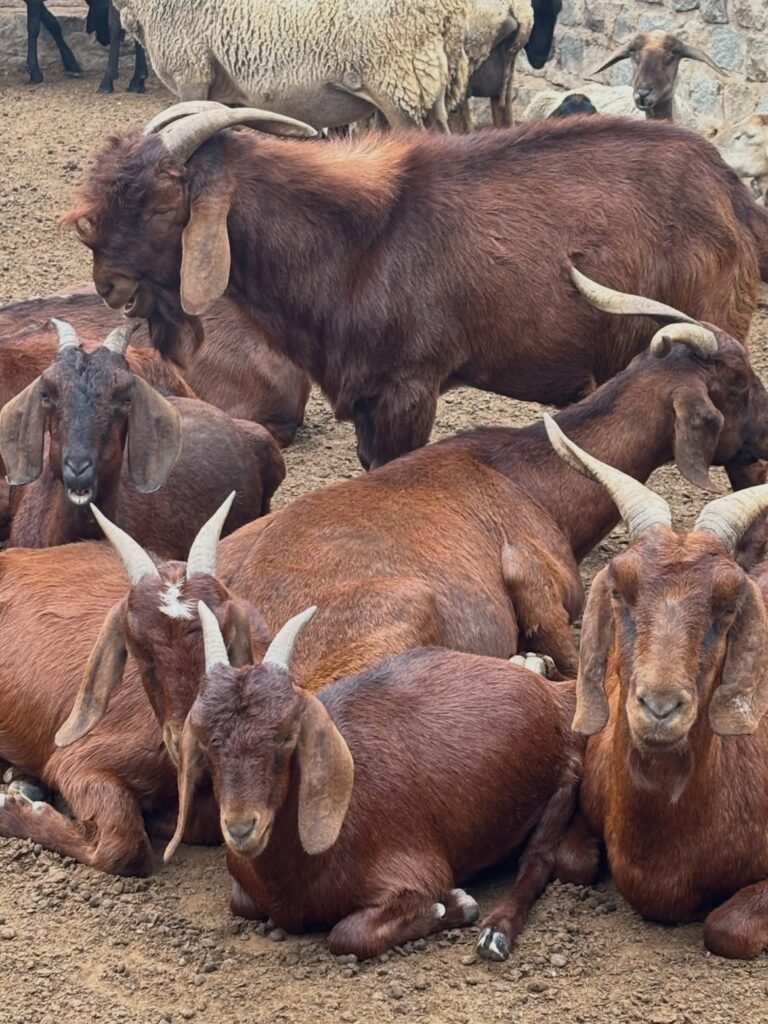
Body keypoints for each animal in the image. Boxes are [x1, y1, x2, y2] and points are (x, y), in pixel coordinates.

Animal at [67, 105, 768, 468]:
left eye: (163, 204)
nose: (108, 283)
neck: (356, 243)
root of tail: (733, 192)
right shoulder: (366, 393)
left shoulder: (410, 385)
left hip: (713, 331)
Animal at [155, 602, 581, 961]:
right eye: (206, 741)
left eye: (287, 735)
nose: (242, 828)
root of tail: (557, 702)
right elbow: (241, 903)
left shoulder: (414, 870)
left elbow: (347, 936)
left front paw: (455, 905)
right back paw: (532, 662)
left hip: (562, 786)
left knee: (536, 861)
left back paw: (495, 935)